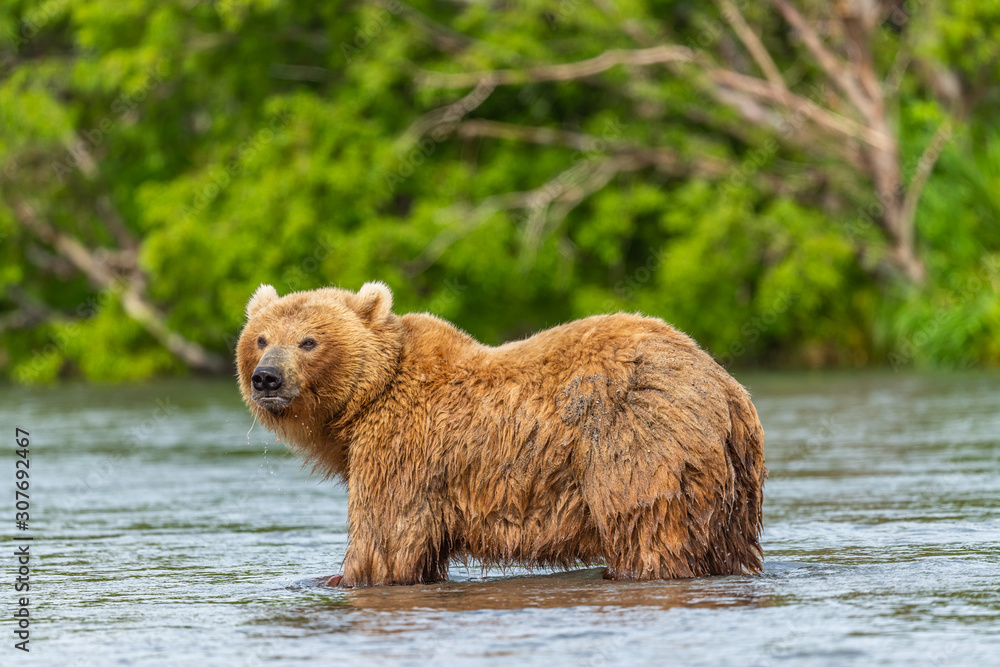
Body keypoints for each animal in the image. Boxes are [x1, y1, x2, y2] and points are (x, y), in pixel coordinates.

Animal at [236, 282, 766, 587]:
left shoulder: (402, 448)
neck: (364, 402)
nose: (267, 378)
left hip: (638, 440)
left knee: (646, 527)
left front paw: (340, 577)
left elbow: (385, 539)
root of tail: (724, 383)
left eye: (308, 341)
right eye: (261, 338)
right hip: (732, 476)